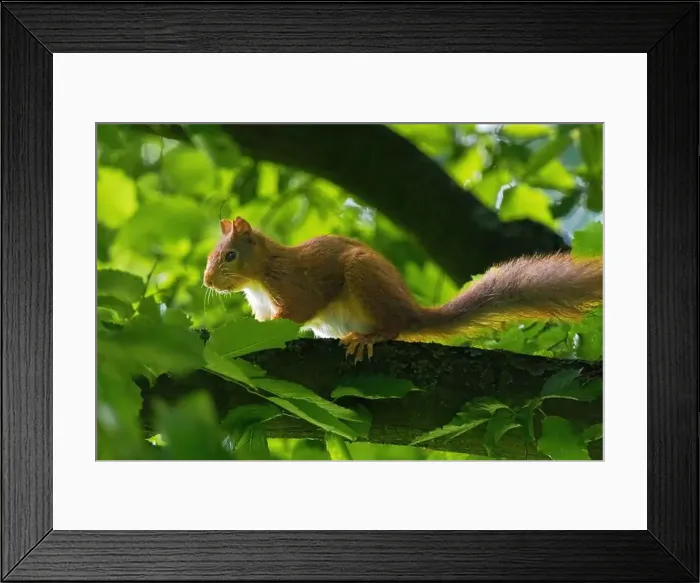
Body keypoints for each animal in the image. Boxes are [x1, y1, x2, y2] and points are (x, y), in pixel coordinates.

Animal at [203, 216, 603, 362]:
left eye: (230, 256)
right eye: (211, 255)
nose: (207, 281)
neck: (259, 277)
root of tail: (412, 312)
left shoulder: (294, 284)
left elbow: (298, 311)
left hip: (365, 279)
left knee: (393, 328)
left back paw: (369, 337)